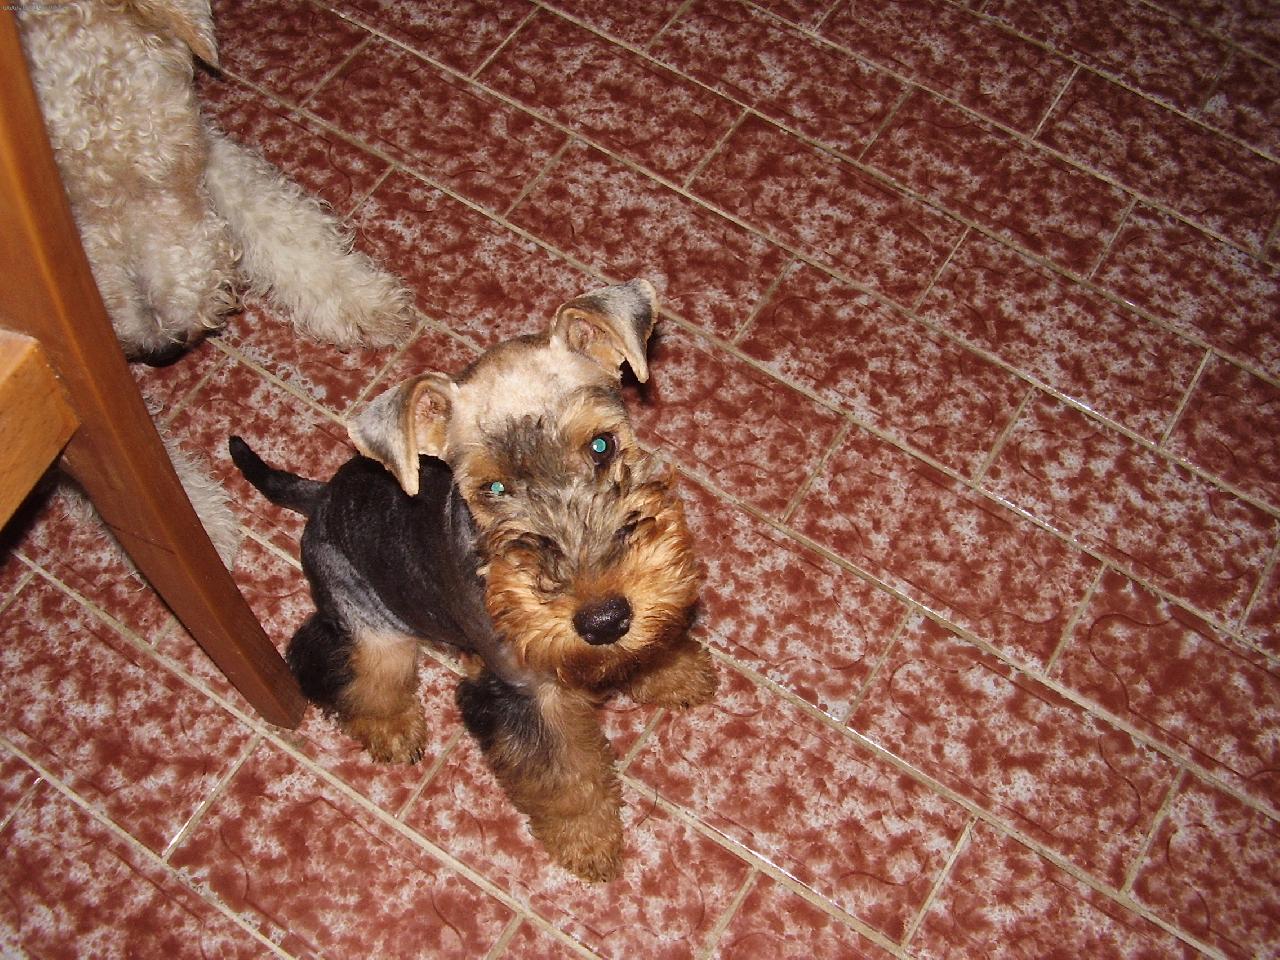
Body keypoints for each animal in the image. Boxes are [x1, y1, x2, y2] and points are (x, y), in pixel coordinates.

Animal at [229, 279, 718, 881]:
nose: (604, 619)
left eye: (601, 445)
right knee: (335, 666)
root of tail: (318, 498)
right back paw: (393, 730)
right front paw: (590, 843)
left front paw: (677, 672)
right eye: (494, 489)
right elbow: (566, 776)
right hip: (371, 631)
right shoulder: (529, 696)